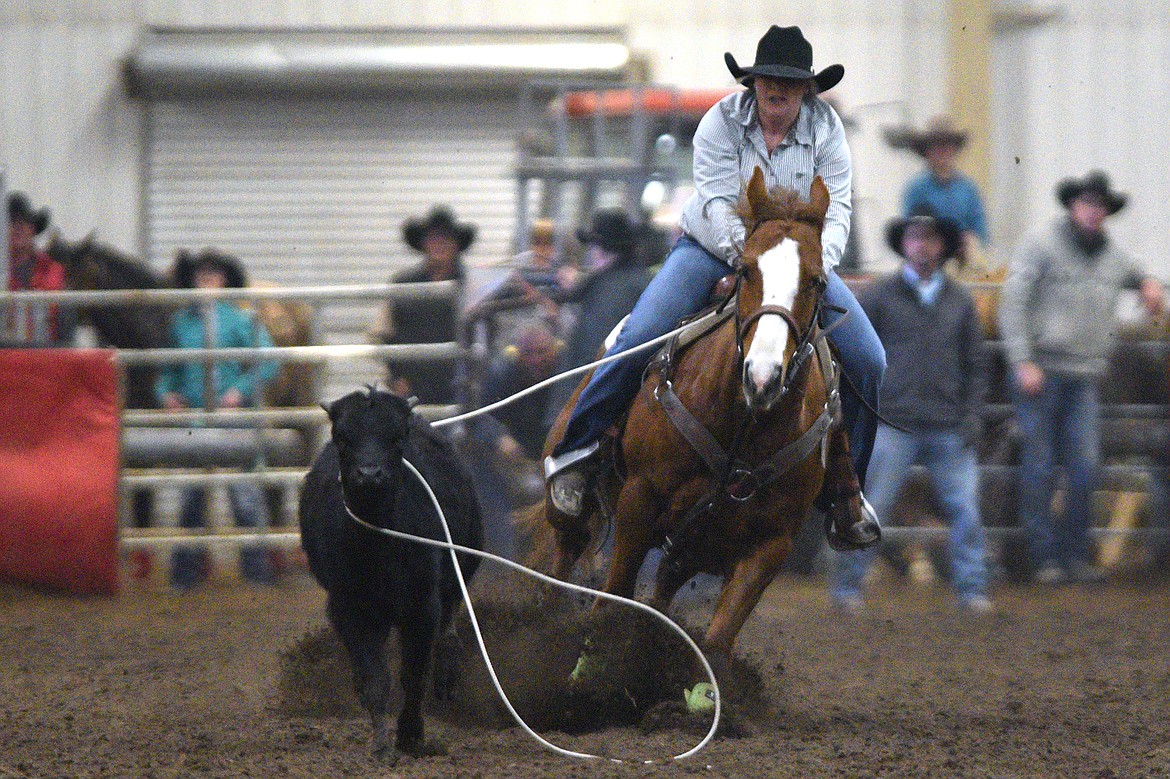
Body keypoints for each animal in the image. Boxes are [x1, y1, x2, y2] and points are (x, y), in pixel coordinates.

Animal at [301, 388, 489, 757]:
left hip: (457, 571)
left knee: (448, 623)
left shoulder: (421, 606)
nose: (369, 473)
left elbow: (413, 674)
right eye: (342, 437)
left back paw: (447, 673)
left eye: (397, 437)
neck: (378, 543)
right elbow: (376, 678)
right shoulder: (350, 609)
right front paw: (381, 744)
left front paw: (410, 733)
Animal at [540, 171, 861, 655]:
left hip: (688, 551)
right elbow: (611, 601)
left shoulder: (770, 546)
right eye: (745, 270)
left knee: (661, 593)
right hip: (571, 513)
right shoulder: (639, 499)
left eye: (818, 281)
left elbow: (716, 641)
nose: (763, 377)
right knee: (558, 565)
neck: (744, 431)